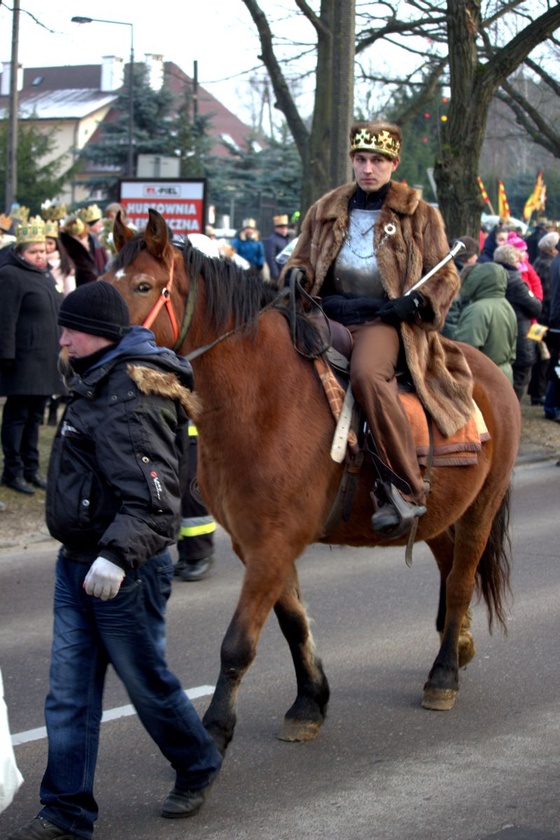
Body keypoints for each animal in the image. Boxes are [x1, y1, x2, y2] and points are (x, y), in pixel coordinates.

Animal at [104, 208, 520, 756]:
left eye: (144, 285)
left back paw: (444, 676)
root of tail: (492, 374)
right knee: (452, 570)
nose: (83, 352)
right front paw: (309, 704)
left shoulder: (274, 542)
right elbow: (293, 623)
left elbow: (238, 643)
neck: (261, 396)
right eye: (104, 280)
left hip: (481, 509)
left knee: (459, 581)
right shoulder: (255, 543)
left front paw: (215, 730)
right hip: (440, 515)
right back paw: (461, 644)